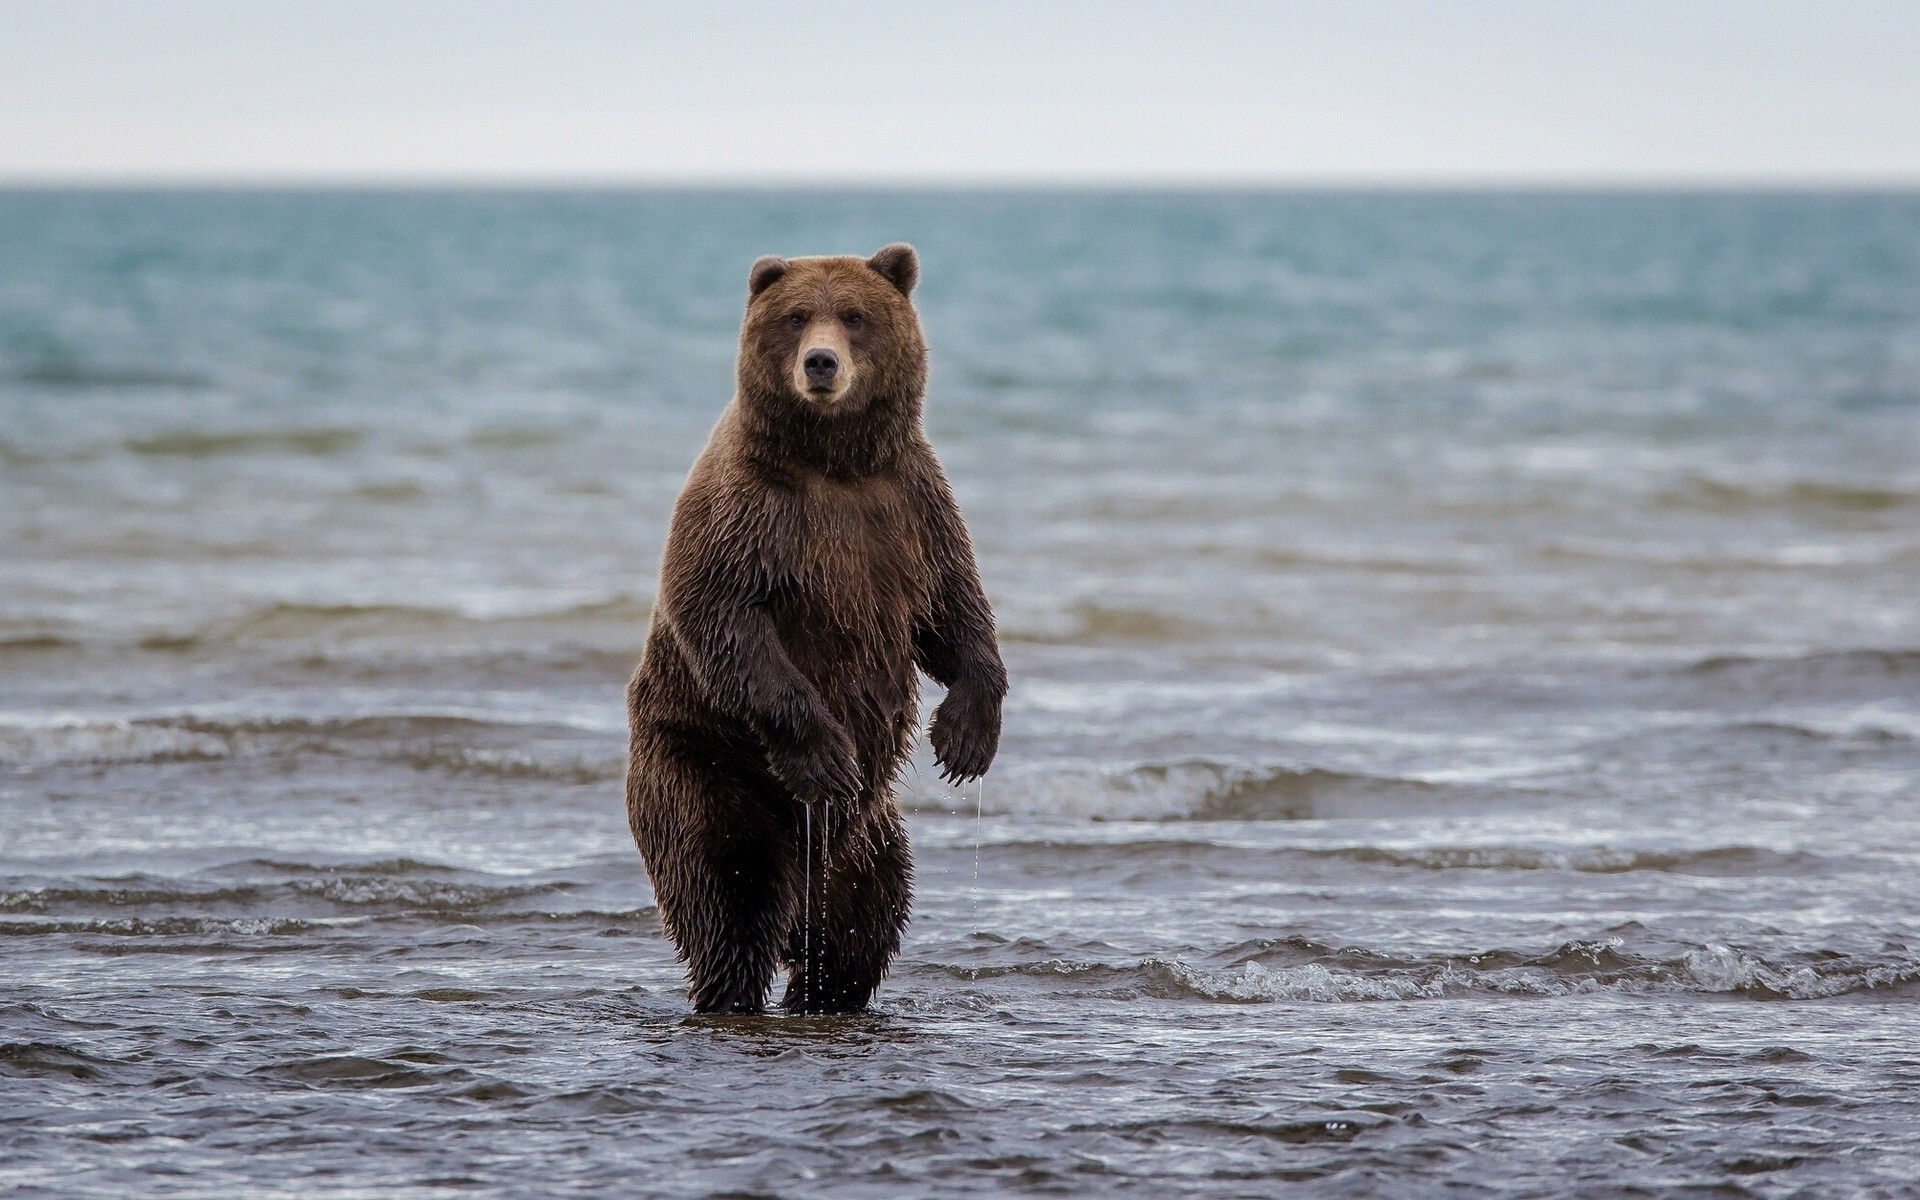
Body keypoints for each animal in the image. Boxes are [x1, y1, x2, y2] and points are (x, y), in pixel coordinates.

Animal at [625, 244, 1006, 1014]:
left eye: (854, 316)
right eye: (798, 316)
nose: (821, 363)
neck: (836, 463)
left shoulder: (911, 505)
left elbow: (955, 611)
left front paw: (965, 737)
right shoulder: (748, 513)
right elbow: (725, 618)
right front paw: (826, 753)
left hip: (868, 842)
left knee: (863, 925)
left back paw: (822, 987)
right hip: (703, 768)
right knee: (728, 898)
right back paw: (733, 986)